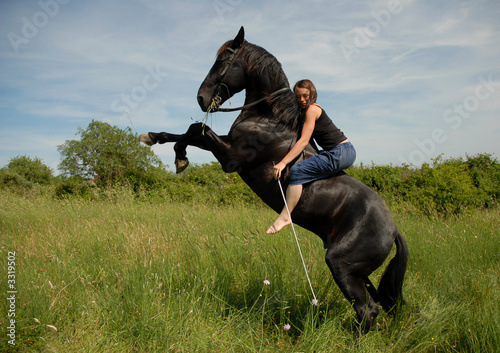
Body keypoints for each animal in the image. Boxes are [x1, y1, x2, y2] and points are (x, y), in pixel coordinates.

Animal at [140, 26, 406, 334]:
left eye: (223, 61)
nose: (201, 99)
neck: (269, 119)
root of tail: (393, 229)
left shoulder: (231, 158)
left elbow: (197, 130)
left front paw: (179, 157)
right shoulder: (227, 146)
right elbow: (190, 131)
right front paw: (153, 137)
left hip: (342, 265)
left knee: (366, 310)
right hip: (359, 272)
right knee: (372, 305)